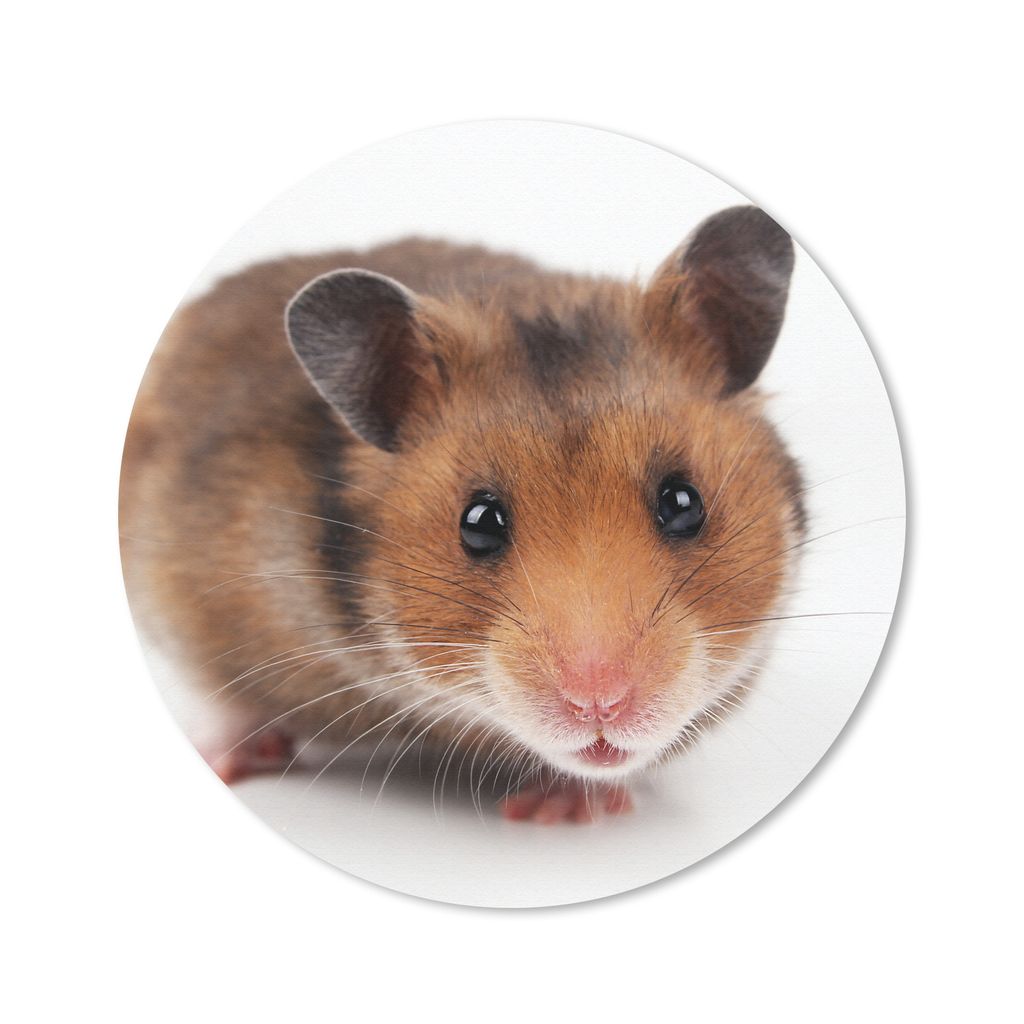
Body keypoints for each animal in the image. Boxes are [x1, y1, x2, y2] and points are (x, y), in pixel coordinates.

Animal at [120, 206, 804, 824]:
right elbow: (220, 696)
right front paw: (226, 764)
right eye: (477, 524)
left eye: (684, 504)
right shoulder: (179, 582)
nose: (601, 706)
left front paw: (559, 813)